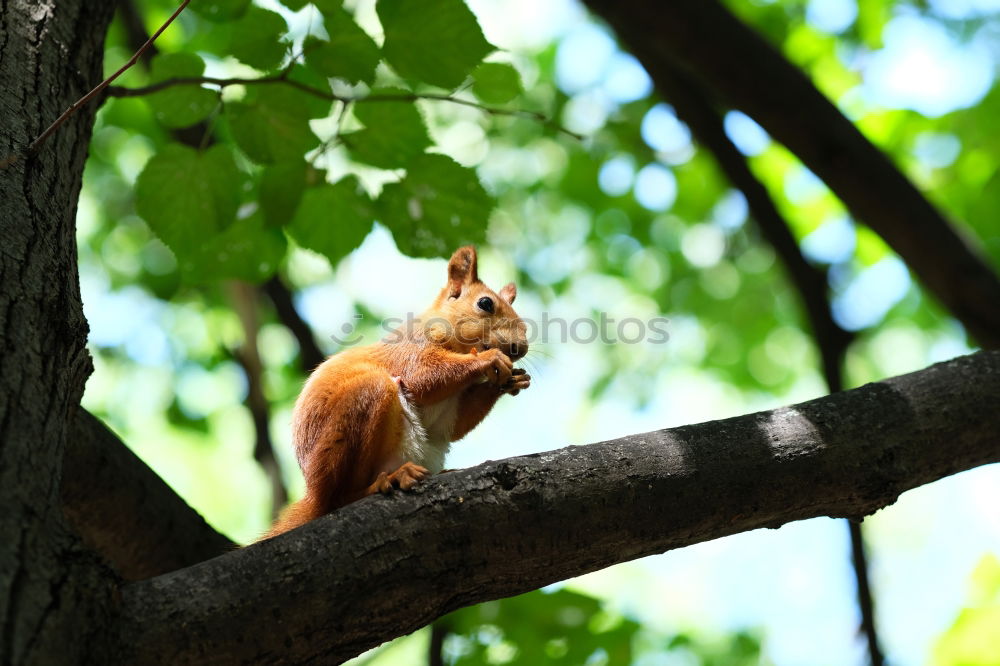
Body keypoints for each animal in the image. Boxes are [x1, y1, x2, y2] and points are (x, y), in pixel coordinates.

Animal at [266, 246, 532, 536]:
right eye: (485, 304)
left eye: (525, 325)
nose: (520, 347)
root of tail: (315, 495)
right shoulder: (408, 351)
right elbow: (423, 376)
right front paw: (489, 359)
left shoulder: (452, 406)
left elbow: (456, 425)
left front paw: (512, 380)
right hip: (357, 412)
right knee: (339, 497)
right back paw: (381, 483)